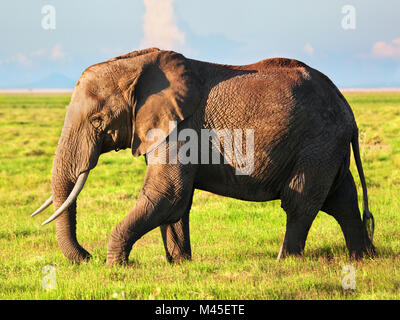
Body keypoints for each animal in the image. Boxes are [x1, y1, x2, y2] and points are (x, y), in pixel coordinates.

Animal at [32, 47, 376, 266]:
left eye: (97, 121)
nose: (86, 257)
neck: (138, 65)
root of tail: (348, 110)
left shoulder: (182, 128)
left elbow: (168, 193)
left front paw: (117, 266)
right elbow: (176, 202)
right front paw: (180, 264)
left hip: (317, 143)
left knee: (300, 201)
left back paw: (285, 262)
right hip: (328, 148)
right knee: (342, 200)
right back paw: (364, 258)